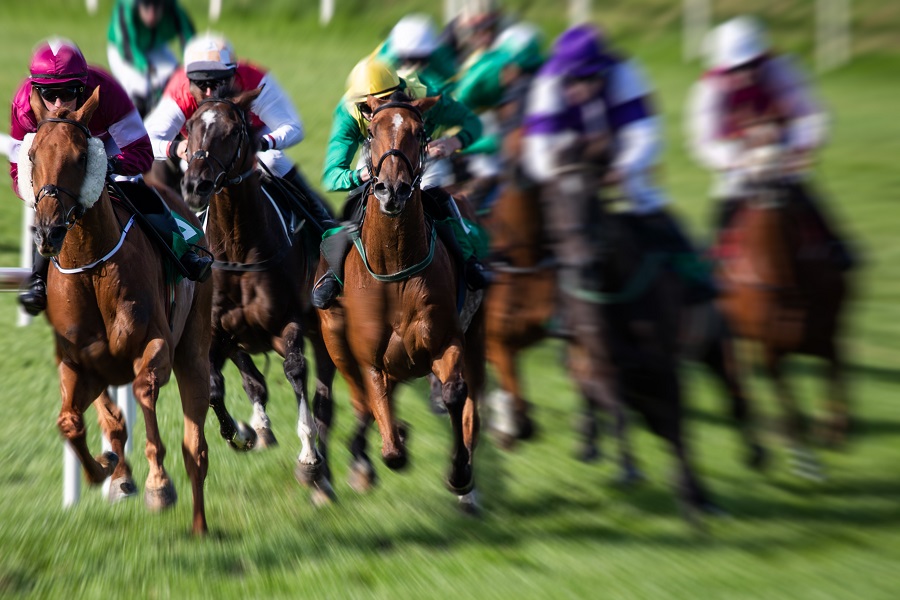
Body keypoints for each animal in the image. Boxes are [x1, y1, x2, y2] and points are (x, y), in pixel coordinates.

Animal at [22, 86, 212, 532]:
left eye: (81, 157)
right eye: (32, 155)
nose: (49, 231)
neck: (92, 267)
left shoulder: (155, 346)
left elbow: (143, 392)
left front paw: (158, 485)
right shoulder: (80, 363)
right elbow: (74, 421)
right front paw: (108, 469)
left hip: (194, 348)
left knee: (195, 449)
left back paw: (200, 528)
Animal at [181, 86, 336, 504]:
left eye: (235, 130)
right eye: (191, 126)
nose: (196, 186)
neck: (238, 248)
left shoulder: (289, 324)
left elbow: (296, 373)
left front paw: (309, 457)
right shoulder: (216, 333)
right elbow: (215, 387)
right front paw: (243, 433)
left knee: (323, 393)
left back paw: (325, 478)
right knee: (252, 380)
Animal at [316, 92, 486, 510]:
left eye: (419, 131)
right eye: (371, 132)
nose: (391, 190)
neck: (395, 267)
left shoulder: (446, 340)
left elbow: (456, 394)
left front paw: (460, 474)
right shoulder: (370, 359)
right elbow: (390, 445)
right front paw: (394, 445)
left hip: (476, 335)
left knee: (472, 403)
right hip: (335, 342)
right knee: (362, 404)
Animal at [716, 143, 852, 476]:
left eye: (783, 165)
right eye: (753, 170)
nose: (771, 190)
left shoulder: (826, 335)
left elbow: (837, 374)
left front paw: (833, 430)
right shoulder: (771, 349)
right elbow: (788, 403)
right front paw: (806, 459)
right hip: (732, 338)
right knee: (740, 385)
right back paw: (758, 450)